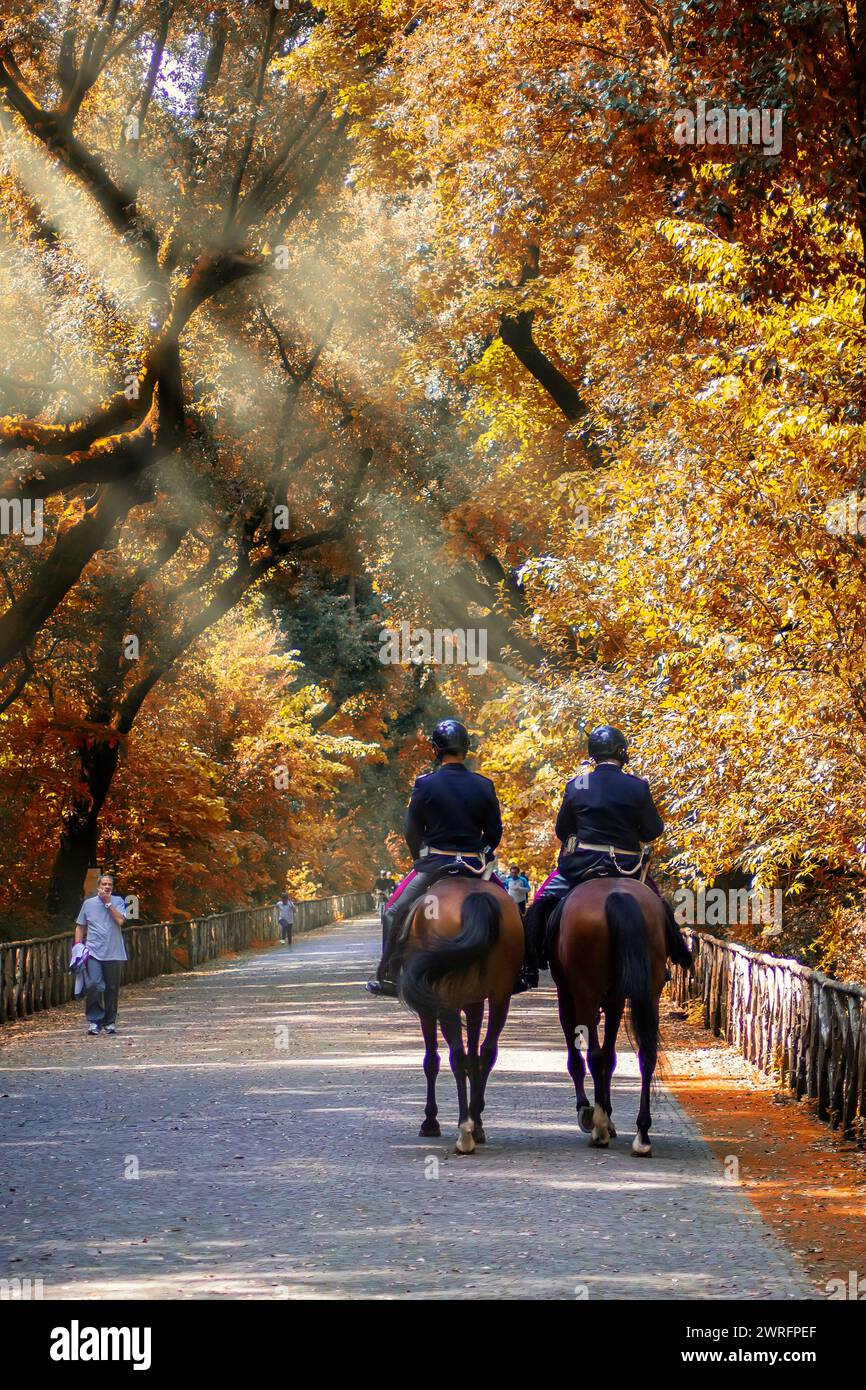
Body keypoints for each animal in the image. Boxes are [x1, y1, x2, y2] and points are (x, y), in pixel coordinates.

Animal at [397, 878, 522, 1150]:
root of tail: (475, 896)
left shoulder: (427, 1007)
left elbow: (432, 1060)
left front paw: (430, 1122)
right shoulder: (475, 1002)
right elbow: (473, 1058)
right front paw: (478, 1119)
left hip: (446, 1000)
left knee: (455, 1055)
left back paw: (464, 1129)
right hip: (501, 995)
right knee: (487, 1051)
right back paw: (475, 1124)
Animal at [547, 872, 692, 1156]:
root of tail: (617, 894)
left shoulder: (567, 997)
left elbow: (580, 1058)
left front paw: (590, 1112)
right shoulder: (615, 1001)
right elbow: (610, 1057)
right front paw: (608, 1115)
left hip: (585, 994)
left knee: (592, 1055)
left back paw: (599, 1131)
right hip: (648, 993)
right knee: (647, 1055)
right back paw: (642, 1134)